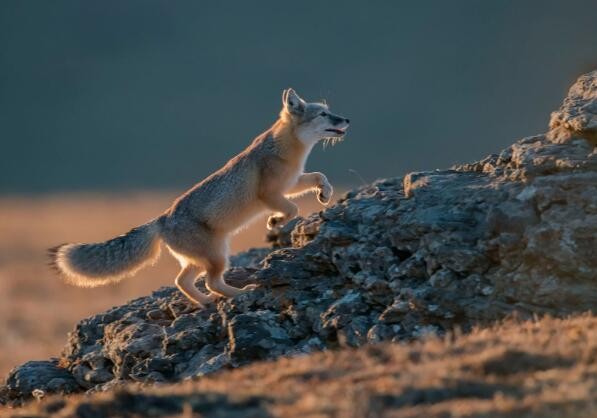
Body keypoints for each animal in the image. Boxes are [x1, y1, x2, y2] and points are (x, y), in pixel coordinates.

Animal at [51, 89, 352, 306]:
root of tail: (162, 219)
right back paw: (240, 293)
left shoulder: (292, 183)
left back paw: (205, 302)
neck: (289, 150)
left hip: (202, 259)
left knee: (182, 282)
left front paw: (324, 192)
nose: (347, 119)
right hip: (217, 257)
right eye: (324, 114)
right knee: (210, 282)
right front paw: (275, 222)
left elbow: (318, 176)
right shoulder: (269, 193)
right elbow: (292, 210)